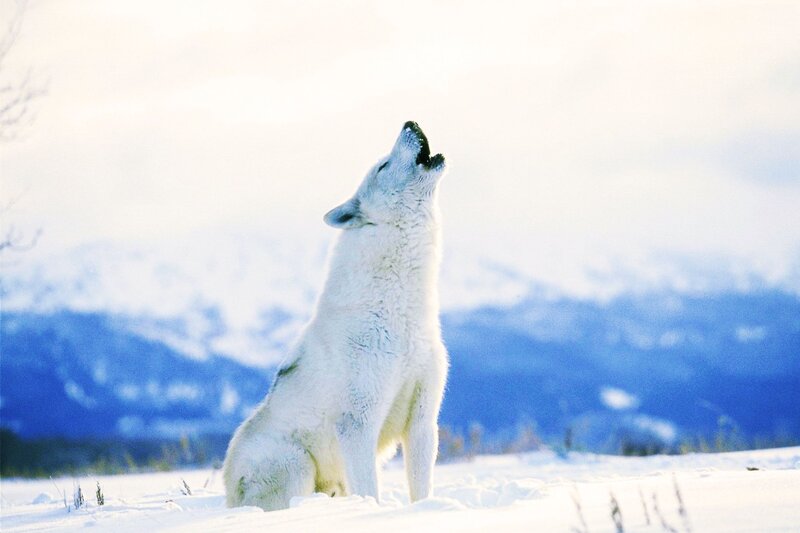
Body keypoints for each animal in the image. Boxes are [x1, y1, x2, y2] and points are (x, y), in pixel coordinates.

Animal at [223, 121, 449, 511]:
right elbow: (370, 489)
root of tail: (227, 491)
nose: (411, 123)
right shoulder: (358, 424)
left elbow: (421, 488)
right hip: (296, 464)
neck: (399, 314)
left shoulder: (422, 420)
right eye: (383, 166)